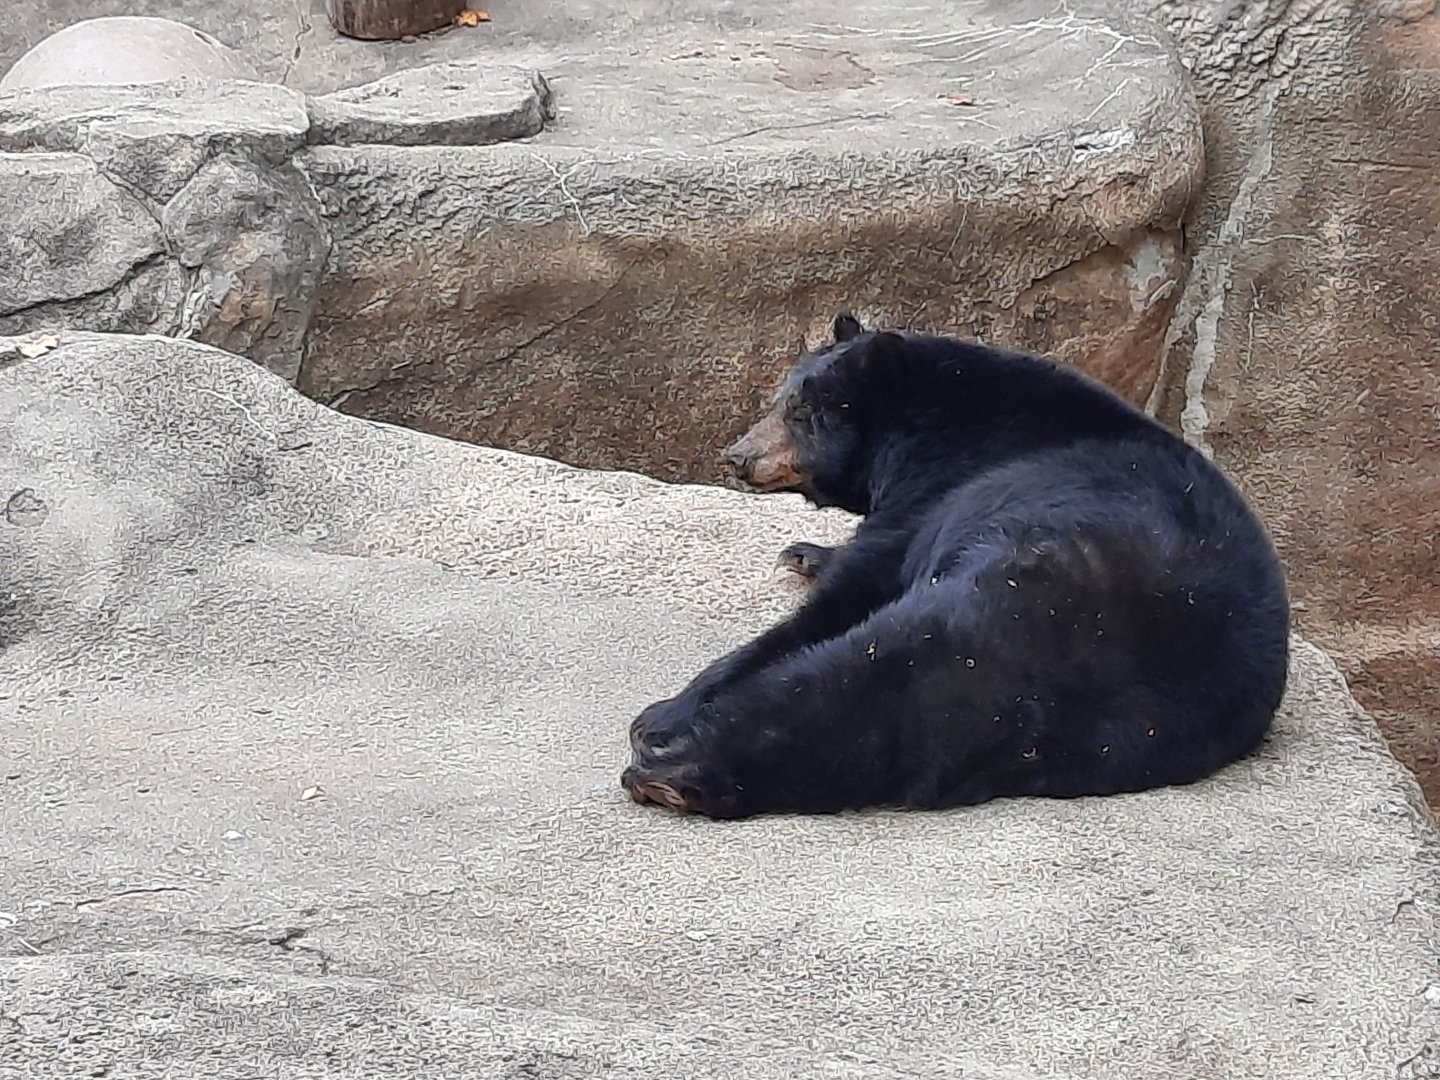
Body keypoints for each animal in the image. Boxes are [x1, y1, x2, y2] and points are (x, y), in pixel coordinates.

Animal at [620, 313, 1291, 819]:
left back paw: (672, 756)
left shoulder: (947, 481)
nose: (737, 456)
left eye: (801, 413)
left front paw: (670, 708)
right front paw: (805, 550)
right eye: (777, 401)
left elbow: (860, 581)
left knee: (869, 673)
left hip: (1009, 599)